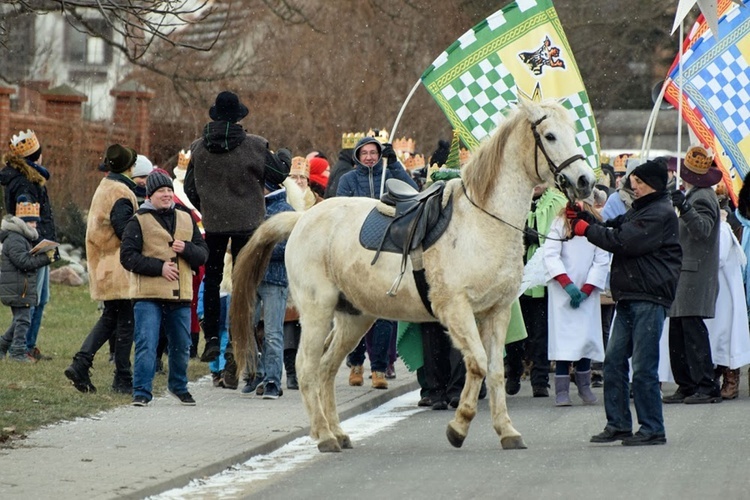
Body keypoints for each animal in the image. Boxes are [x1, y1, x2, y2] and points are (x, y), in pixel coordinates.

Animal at [232, 98, 596, 454]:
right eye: (550, 136)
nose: (585, 182)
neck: (482, 221)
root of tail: (302, 218)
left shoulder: (497, 312)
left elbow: (493, 371)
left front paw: (506, 431)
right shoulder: (456, 310)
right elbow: (477, 363)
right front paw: (458, 427)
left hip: (353, 317)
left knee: (326, 368)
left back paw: (338, 433)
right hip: (317, 311)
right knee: (307, 369)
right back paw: (323, 436)